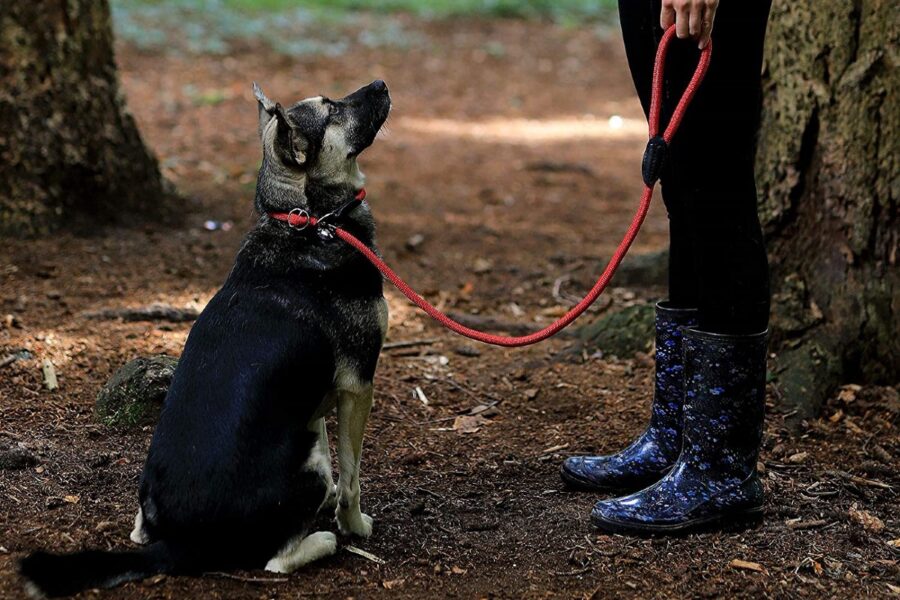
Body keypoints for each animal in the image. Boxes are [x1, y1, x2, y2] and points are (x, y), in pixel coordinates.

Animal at [19, 78, 392, 596]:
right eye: (333, 109)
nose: (380, 83)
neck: (309, 221)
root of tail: (179, 543)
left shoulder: (323, 399)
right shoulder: (358, 386)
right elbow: (353, 477)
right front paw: (355, 526)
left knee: (139, 531)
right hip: (310, 463)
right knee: (276, 560)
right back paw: (326, 539)